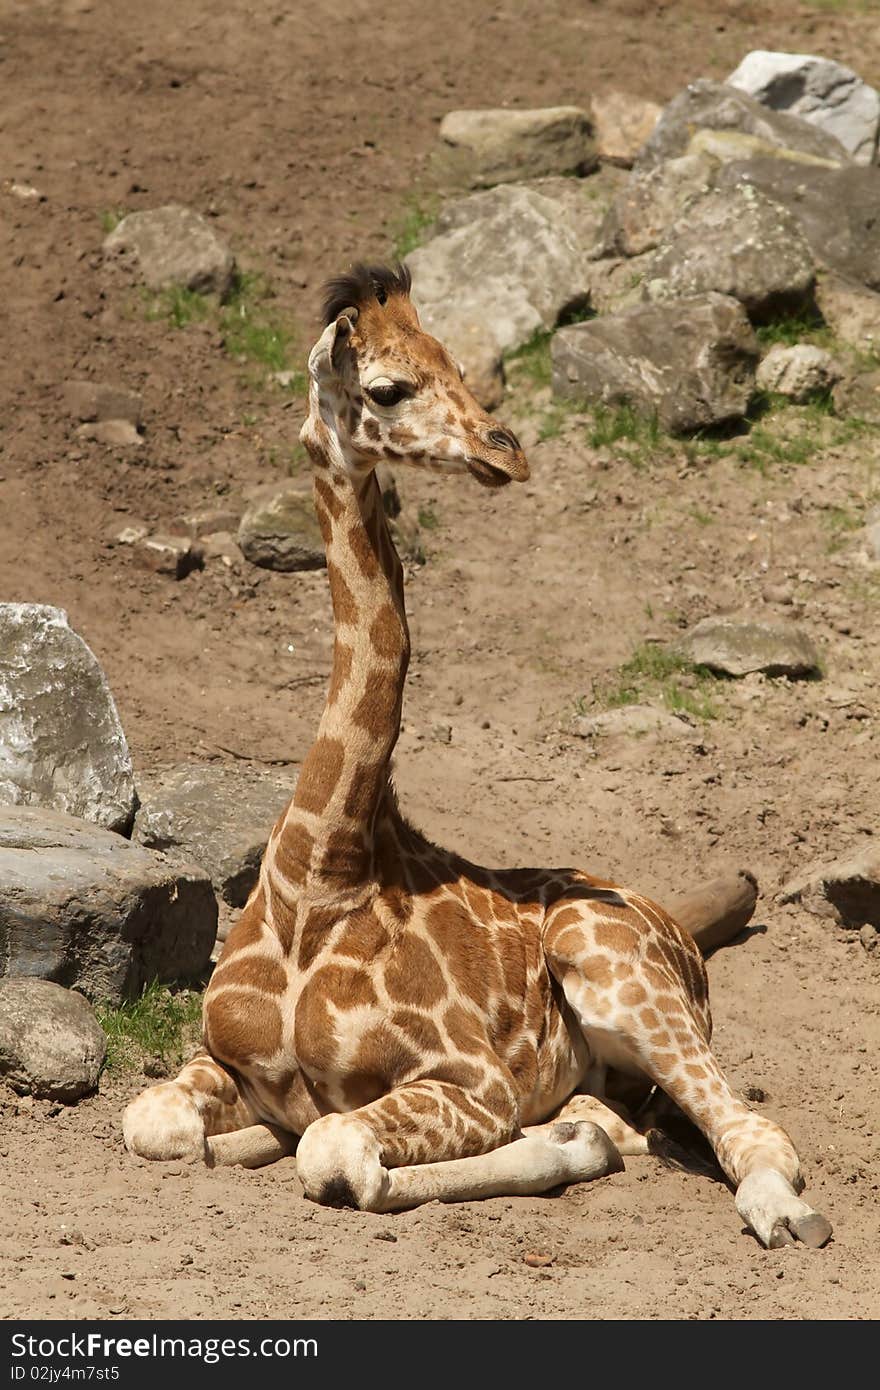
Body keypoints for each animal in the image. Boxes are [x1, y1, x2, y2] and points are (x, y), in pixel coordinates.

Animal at [121, 262, 828, 1251]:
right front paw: (238, 1143)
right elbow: (152, 1121)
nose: (509, 450)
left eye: (458, 363)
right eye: (389, 387)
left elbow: (335, 1147)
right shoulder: (220, 1059)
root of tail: (678, 928)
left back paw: (779, 1211)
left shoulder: (472, 1079)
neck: (321, 876)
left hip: (611, 965)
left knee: (749, 1129)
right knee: (624, 1124)